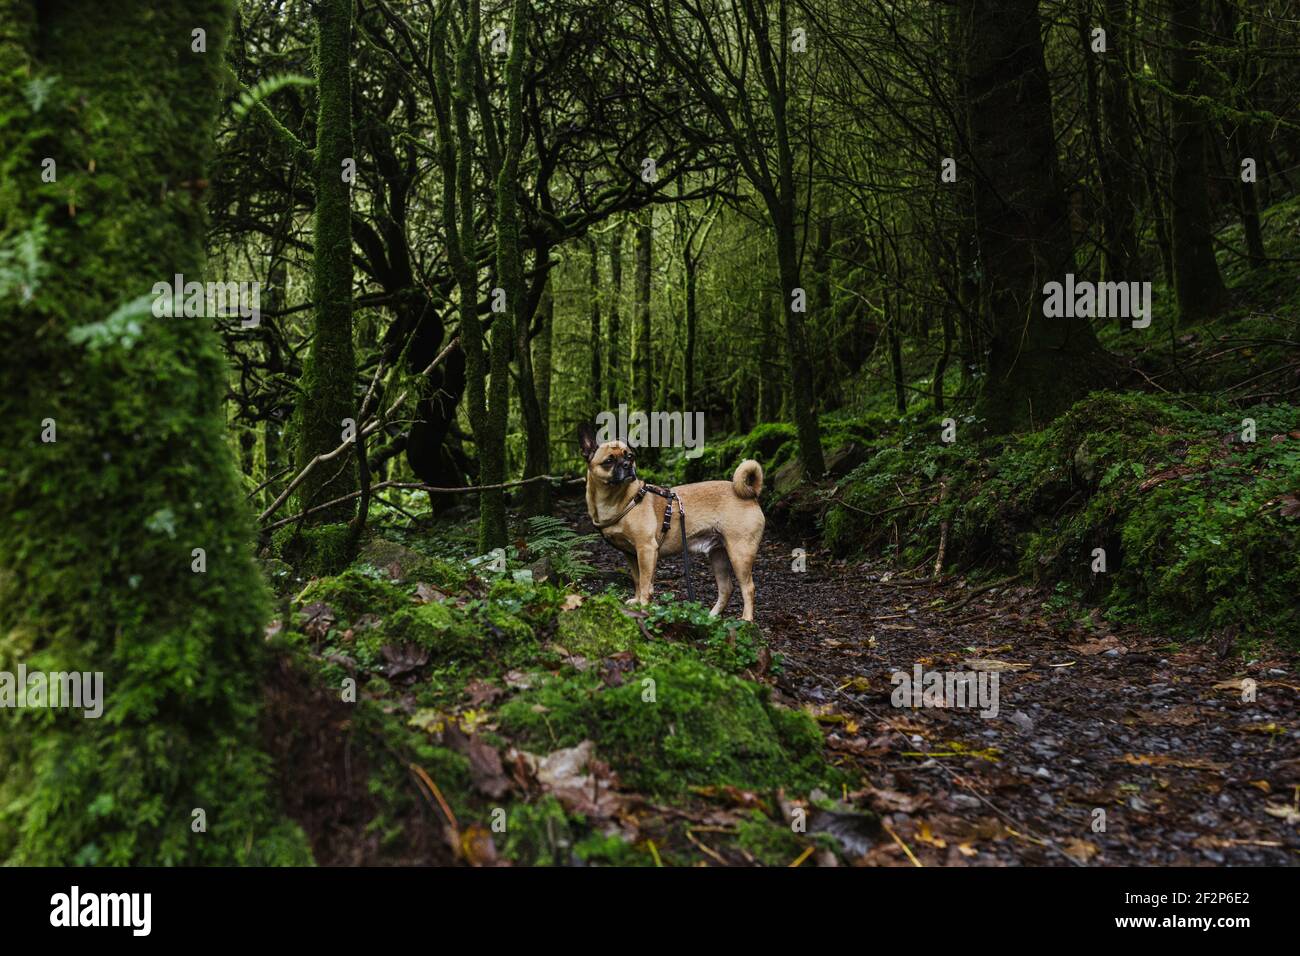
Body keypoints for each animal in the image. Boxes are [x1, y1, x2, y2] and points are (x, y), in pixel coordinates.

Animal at [577, 424, 759, 621]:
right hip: (718, 555)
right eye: (609, 461)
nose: (627, 465)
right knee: (726, 588)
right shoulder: (631, 554)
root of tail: (750, 494)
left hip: (739, 554)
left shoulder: (646, 550)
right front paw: (637, 601)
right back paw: (711, 616)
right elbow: (637, 579)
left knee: (748, 588)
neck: (619, 499)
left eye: (630, 456)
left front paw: (643, 606)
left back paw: (746, 619)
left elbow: (645, 583)